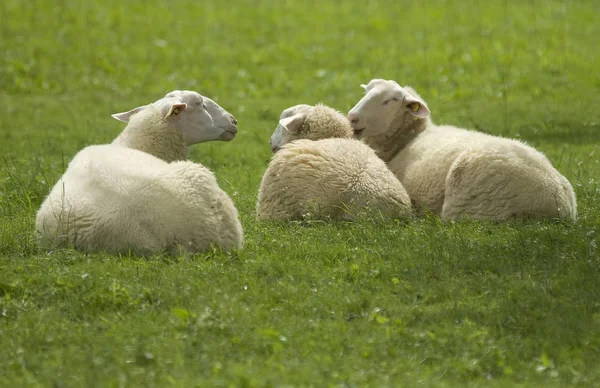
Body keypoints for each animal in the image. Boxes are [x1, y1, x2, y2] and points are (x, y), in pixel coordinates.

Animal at [346, 79, 576, 221]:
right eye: (366, 92)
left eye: (390, 100)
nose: (352, 117)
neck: (408, 139)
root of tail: (560, 203)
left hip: (472, 206)